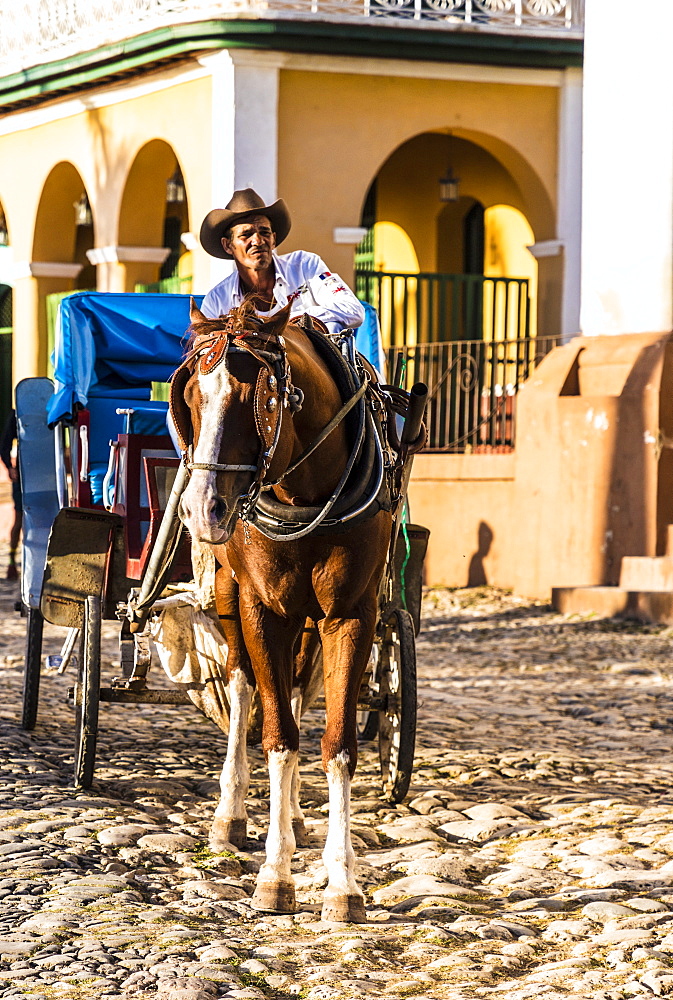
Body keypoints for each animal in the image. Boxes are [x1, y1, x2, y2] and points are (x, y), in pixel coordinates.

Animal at [171, 300, 392, 924]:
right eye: (191, 395)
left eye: (262, 397)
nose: (202, 508)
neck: (306, 493)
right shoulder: (264, 611)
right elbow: (277, 738)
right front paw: (274, 872)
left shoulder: (352, 615)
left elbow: (337, 744)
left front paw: (342, 883)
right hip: (231, 596)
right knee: (245, 688)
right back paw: (232, 814)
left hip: (311, 624)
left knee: (296, 690)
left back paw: (292, 814)